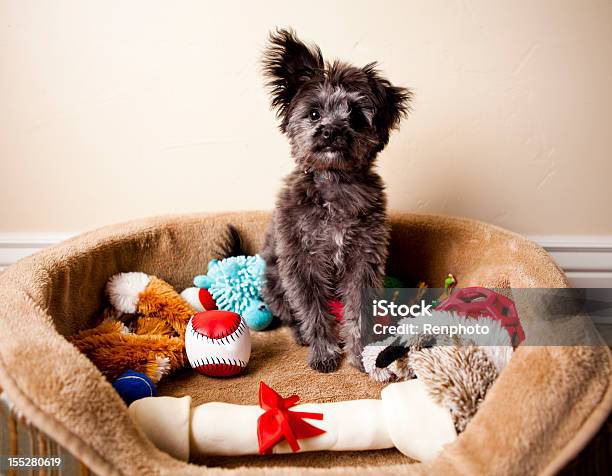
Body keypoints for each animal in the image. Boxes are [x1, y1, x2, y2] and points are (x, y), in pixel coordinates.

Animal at [260, 28, 412, 372]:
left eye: (355, 116)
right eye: (314, 113)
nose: (330, 131)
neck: (335, 185)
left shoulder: (364, 260)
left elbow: (359, 311)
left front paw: (358, 353)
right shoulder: (302, 263)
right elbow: (313, 312)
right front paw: (325, 352)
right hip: (275, 282)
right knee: (291, 314)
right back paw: (300, 335)